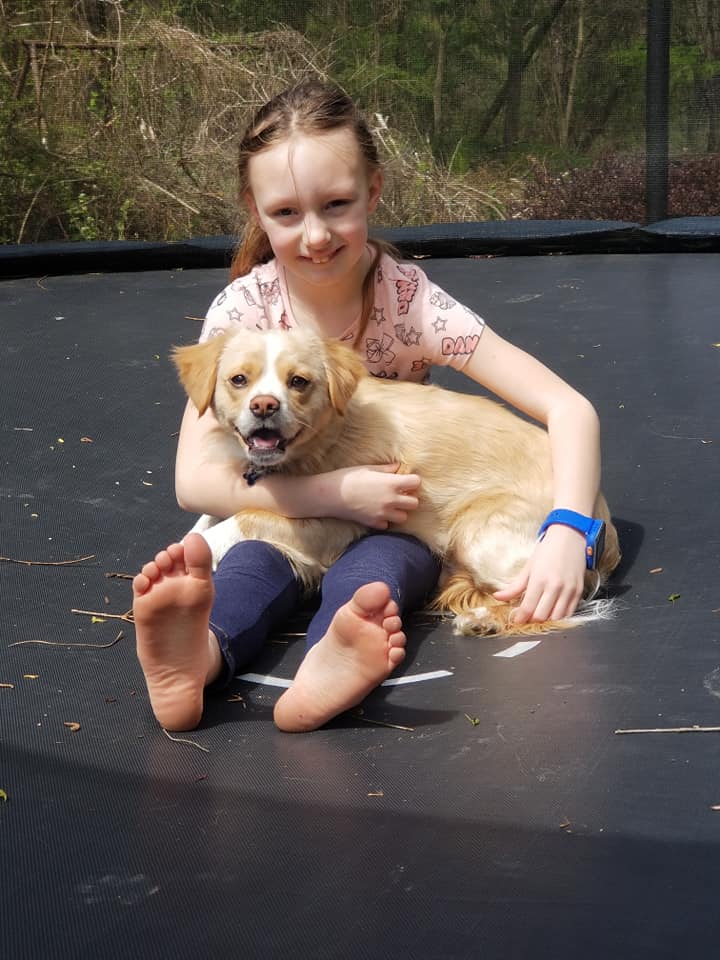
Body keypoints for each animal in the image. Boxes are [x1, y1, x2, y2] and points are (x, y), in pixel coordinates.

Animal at [172, 326, 620, 637]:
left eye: (298, 381)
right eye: (239, 380)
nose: (264, 406)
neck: (326, 434)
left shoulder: (334, 523)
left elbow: (241, 518)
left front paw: (180, 558)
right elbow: (207, 519)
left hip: (479, 532)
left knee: (549, 604)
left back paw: (485, 620)